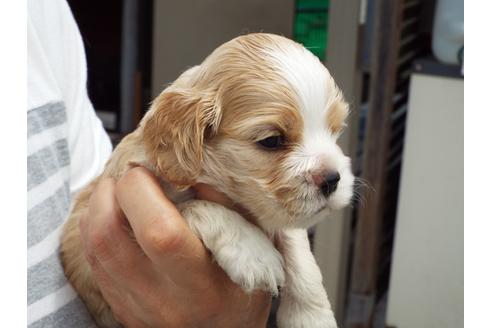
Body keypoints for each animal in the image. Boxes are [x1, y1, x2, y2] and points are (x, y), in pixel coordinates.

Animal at [61, 32, 354, 326]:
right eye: (272, 140)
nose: (332, 179)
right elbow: (193, 206)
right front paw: (252, 252)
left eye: (335, 131)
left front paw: (311, 316)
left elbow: (299, 252)